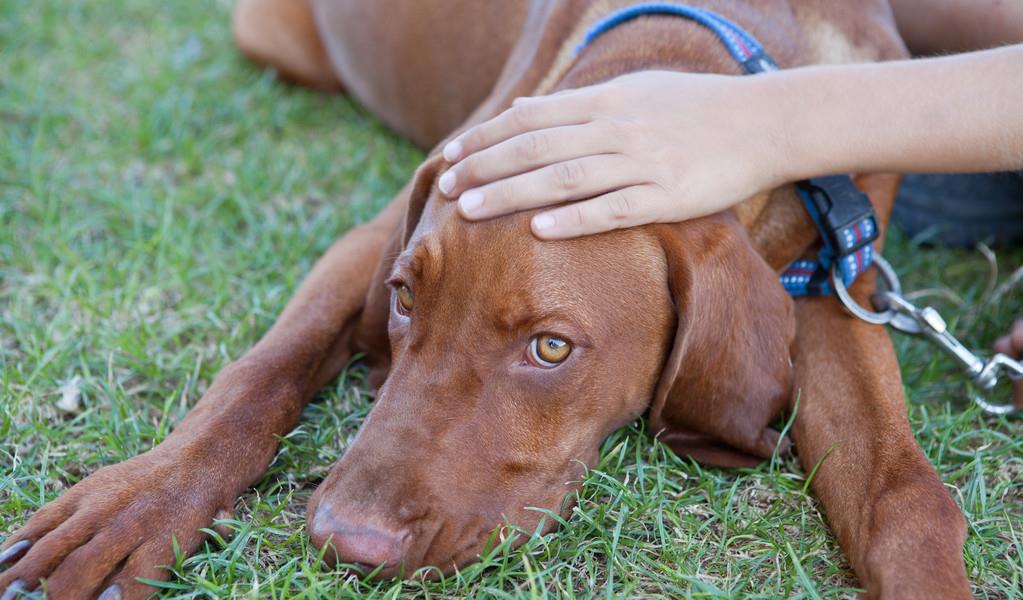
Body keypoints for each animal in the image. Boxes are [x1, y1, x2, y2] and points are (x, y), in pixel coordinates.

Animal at [0, 1, 973, 600]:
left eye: (551, 348)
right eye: (402, 299)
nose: (343, 541)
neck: (689, 64)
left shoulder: (838, 288)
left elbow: (905, 493)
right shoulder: (373, 239)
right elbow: (257, 377)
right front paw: (135, 506)